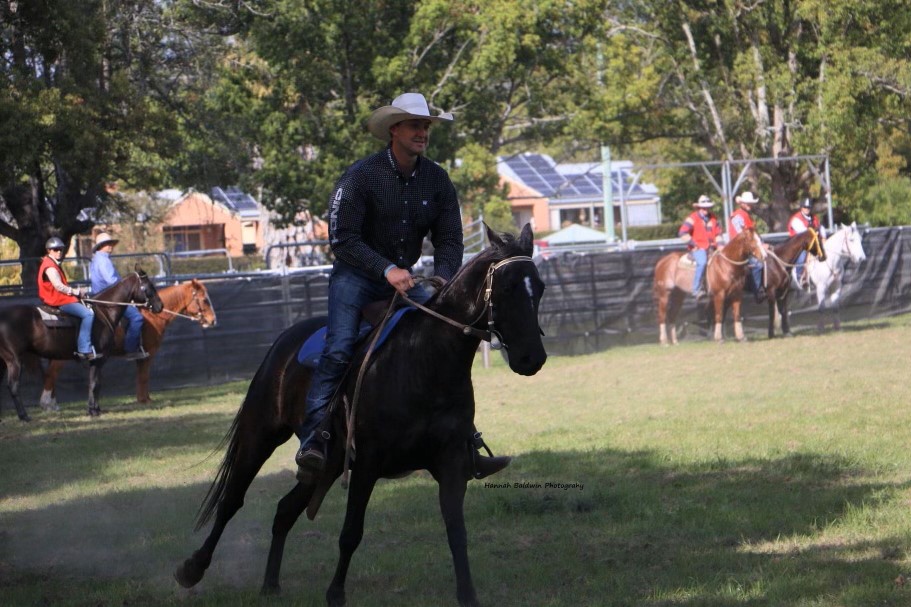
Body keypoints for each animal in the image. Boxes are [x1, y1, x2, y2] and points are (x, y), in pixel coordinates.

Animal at [0, 267, 163, 421]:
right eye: (149, 286)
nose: (160, 306)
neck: (103, 312)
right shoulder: (98, 359)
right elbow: (94, 383)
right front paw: (92, 411)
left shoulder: (98, 360)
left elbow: (96, 383)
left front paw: (96, 409)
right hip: (14, 360)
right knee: (13, 386)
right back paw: (24, 416)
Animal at [38, 278, 217, 410]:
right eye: (204, 300)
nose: (212, 321)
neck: (151, 316)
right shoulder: (147, 354)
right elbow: (144, 376)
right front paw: (145, 401)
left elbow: (140, 377)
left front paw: (143, 398)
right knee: (51, 374)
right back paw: (48, 404)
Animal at [174, 224, 547, 607]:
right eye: (507, 288)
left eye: (540, 287)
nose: (532, 358)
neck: (424, 362)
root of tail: (285, 341)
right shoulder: (368, 463)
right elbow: (351, 532)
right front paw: (335, 593)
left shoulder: (452, 462)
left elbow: (457, 532)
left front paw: (468, 595)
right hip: (260, 435)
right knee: (232, 500)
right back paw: (193, 569)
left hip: (324, 464)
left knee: (284, 511)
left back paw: (270, 584)